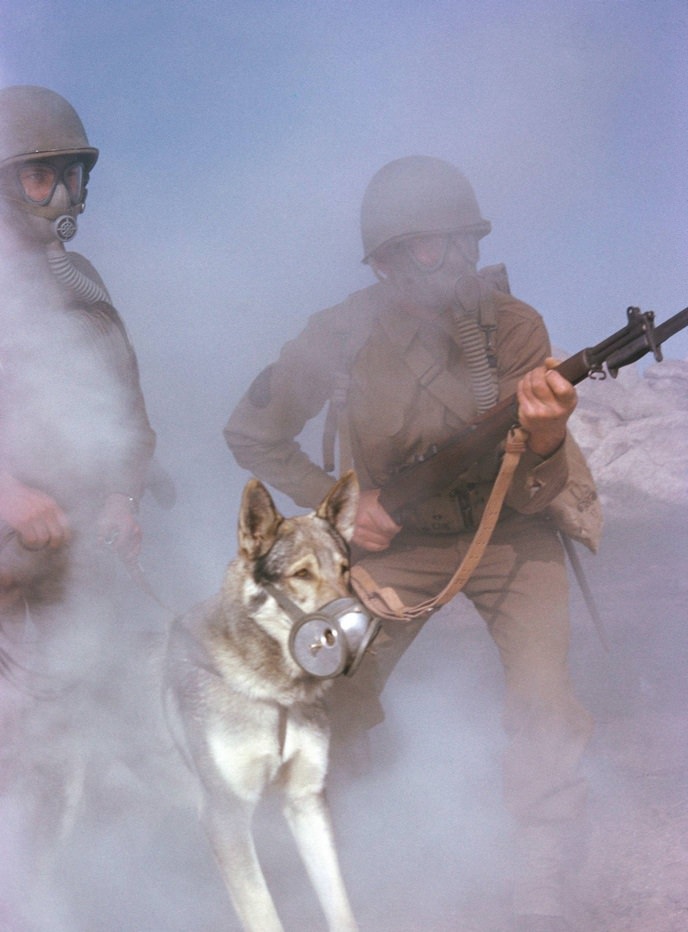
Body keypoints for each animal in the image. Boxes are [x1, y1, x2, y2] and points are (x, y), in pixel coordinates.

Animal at [165, 474, 360, 932]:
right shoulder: (226, 815)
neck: (276, 694)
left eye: (345, 571)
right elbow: (263, 913)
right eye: (301, 574)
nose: (353, 628)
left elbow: (340, 906)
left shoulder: (307, 801)